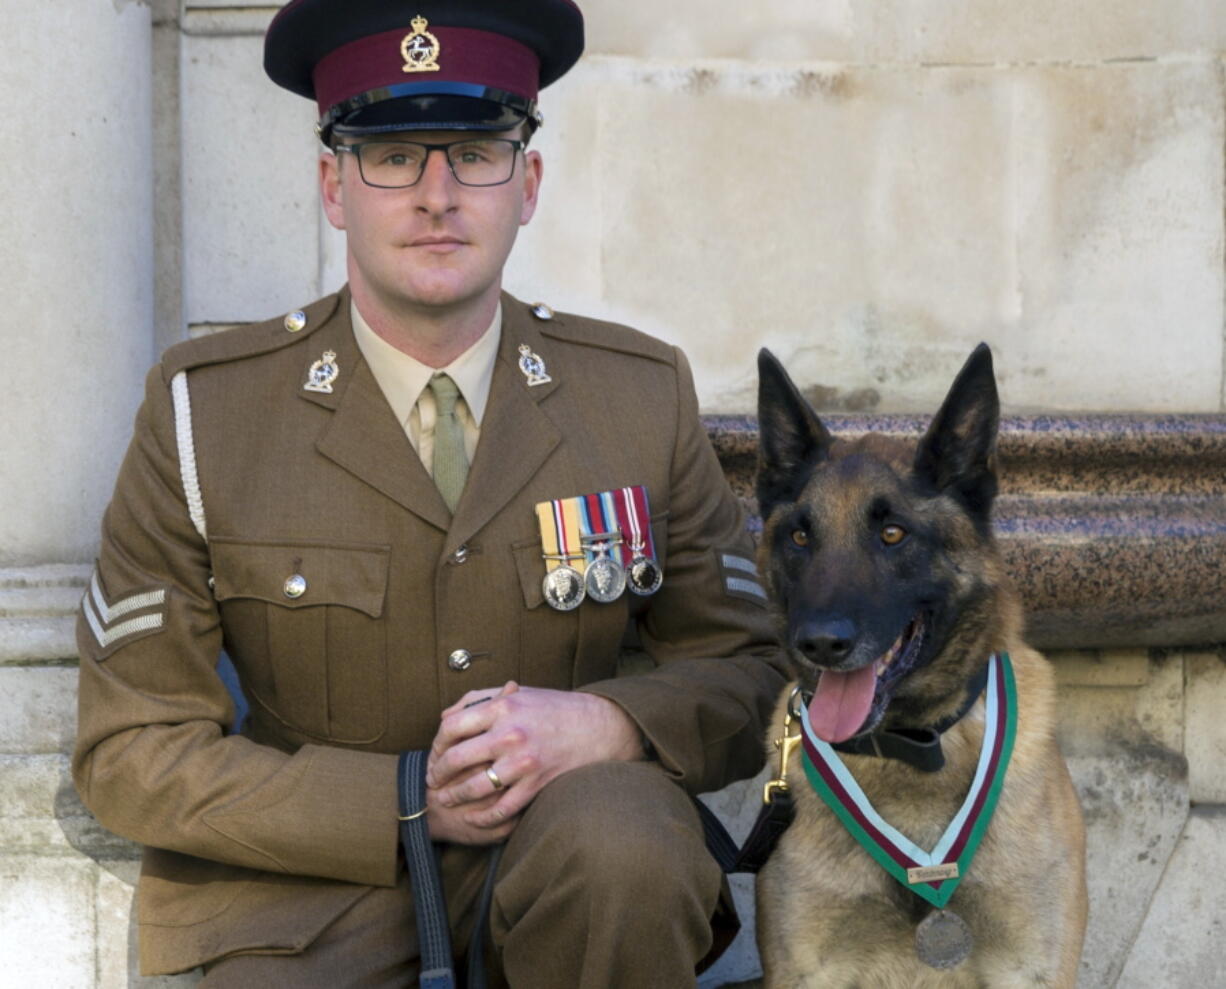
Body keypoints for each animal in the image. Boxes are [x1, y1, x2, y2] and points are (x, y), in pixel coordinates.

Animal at [750, 343, 1088, 985]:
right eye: (800, 537)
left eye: (892, 533)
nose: (820, 643)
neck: (912, 748)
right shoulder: (809, 969)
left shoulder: (1030, 966)